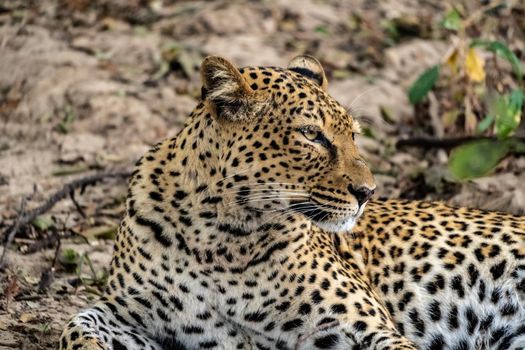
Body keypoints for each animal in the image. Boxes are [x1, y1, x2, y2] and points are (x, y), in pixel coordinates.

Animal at [58, 55, 524, 350]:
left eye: (353, 134)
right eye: (312, 135)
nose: (368, 193)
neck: (220, 235)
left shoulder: (366, 328)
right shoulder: (130, 314)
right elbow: (75, 326)